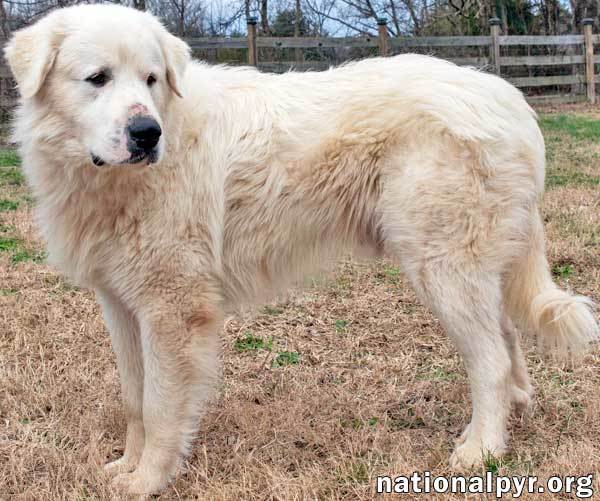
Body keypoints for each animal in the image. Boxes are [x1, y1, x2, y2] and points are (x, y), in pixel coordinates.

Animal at [5, 3, 600, 494]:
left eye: (151, 80)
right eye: (97, 79)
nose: (146, 133)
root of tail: (509, 99)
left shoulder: (173, 311)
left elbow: (161, 407)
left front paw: (147, 481)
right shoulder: (124, 305)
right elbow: (135, 399)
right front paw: (125, 467)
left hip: (443, 269)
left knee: (491, 361)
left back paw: (480, 453)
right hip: (470, 272)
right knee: (507, 343)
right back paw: (506, 424)